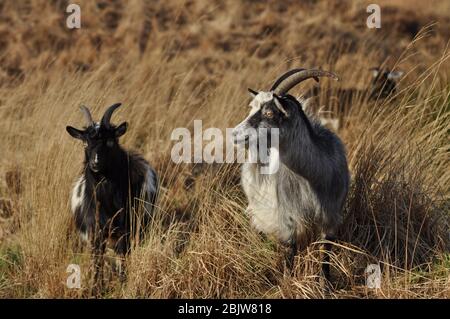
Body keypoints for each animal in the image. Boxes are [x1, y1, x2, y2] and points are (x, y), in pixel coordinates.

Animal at [232, 69, 352, 282]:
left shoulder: (331, 215)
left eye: (269, 112)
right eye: (252, 109)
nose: (235, 134)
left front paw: (326, 282)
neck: (312, 178)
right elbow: (291, 250)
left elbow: (326, 251)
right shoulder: (288, 218)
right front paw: (287, 279)